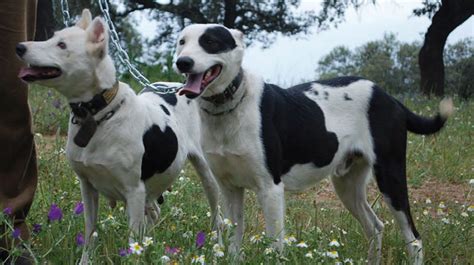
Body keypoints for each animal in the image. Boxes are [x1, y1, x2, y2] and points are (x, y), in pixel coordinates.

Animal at [15, 10, 221, 262]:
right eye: (52, 38)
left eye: (61, 45)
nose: (20, 47)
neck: (99, 114)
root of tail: (180, 87)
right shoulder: (87, 187)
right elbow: (90, 232)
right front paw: (86, 260)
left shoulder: (134, 191)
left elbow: (133, 241)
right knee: (153, 214)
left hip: (207, 176)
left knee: (218, 216)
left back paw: (219, 247)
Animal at [174, 23, 452, 262]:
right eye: (181, 42)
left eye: (210, 42)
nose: (182, 62)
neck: (229, 106)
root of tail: (389, 98)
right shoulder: (230, 189)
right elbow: (233, 242)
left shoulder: (270, 189)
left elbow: (275, 244)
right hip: (347, 184)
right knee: (375, 226)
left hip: (390, 177)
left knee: (414, 238)